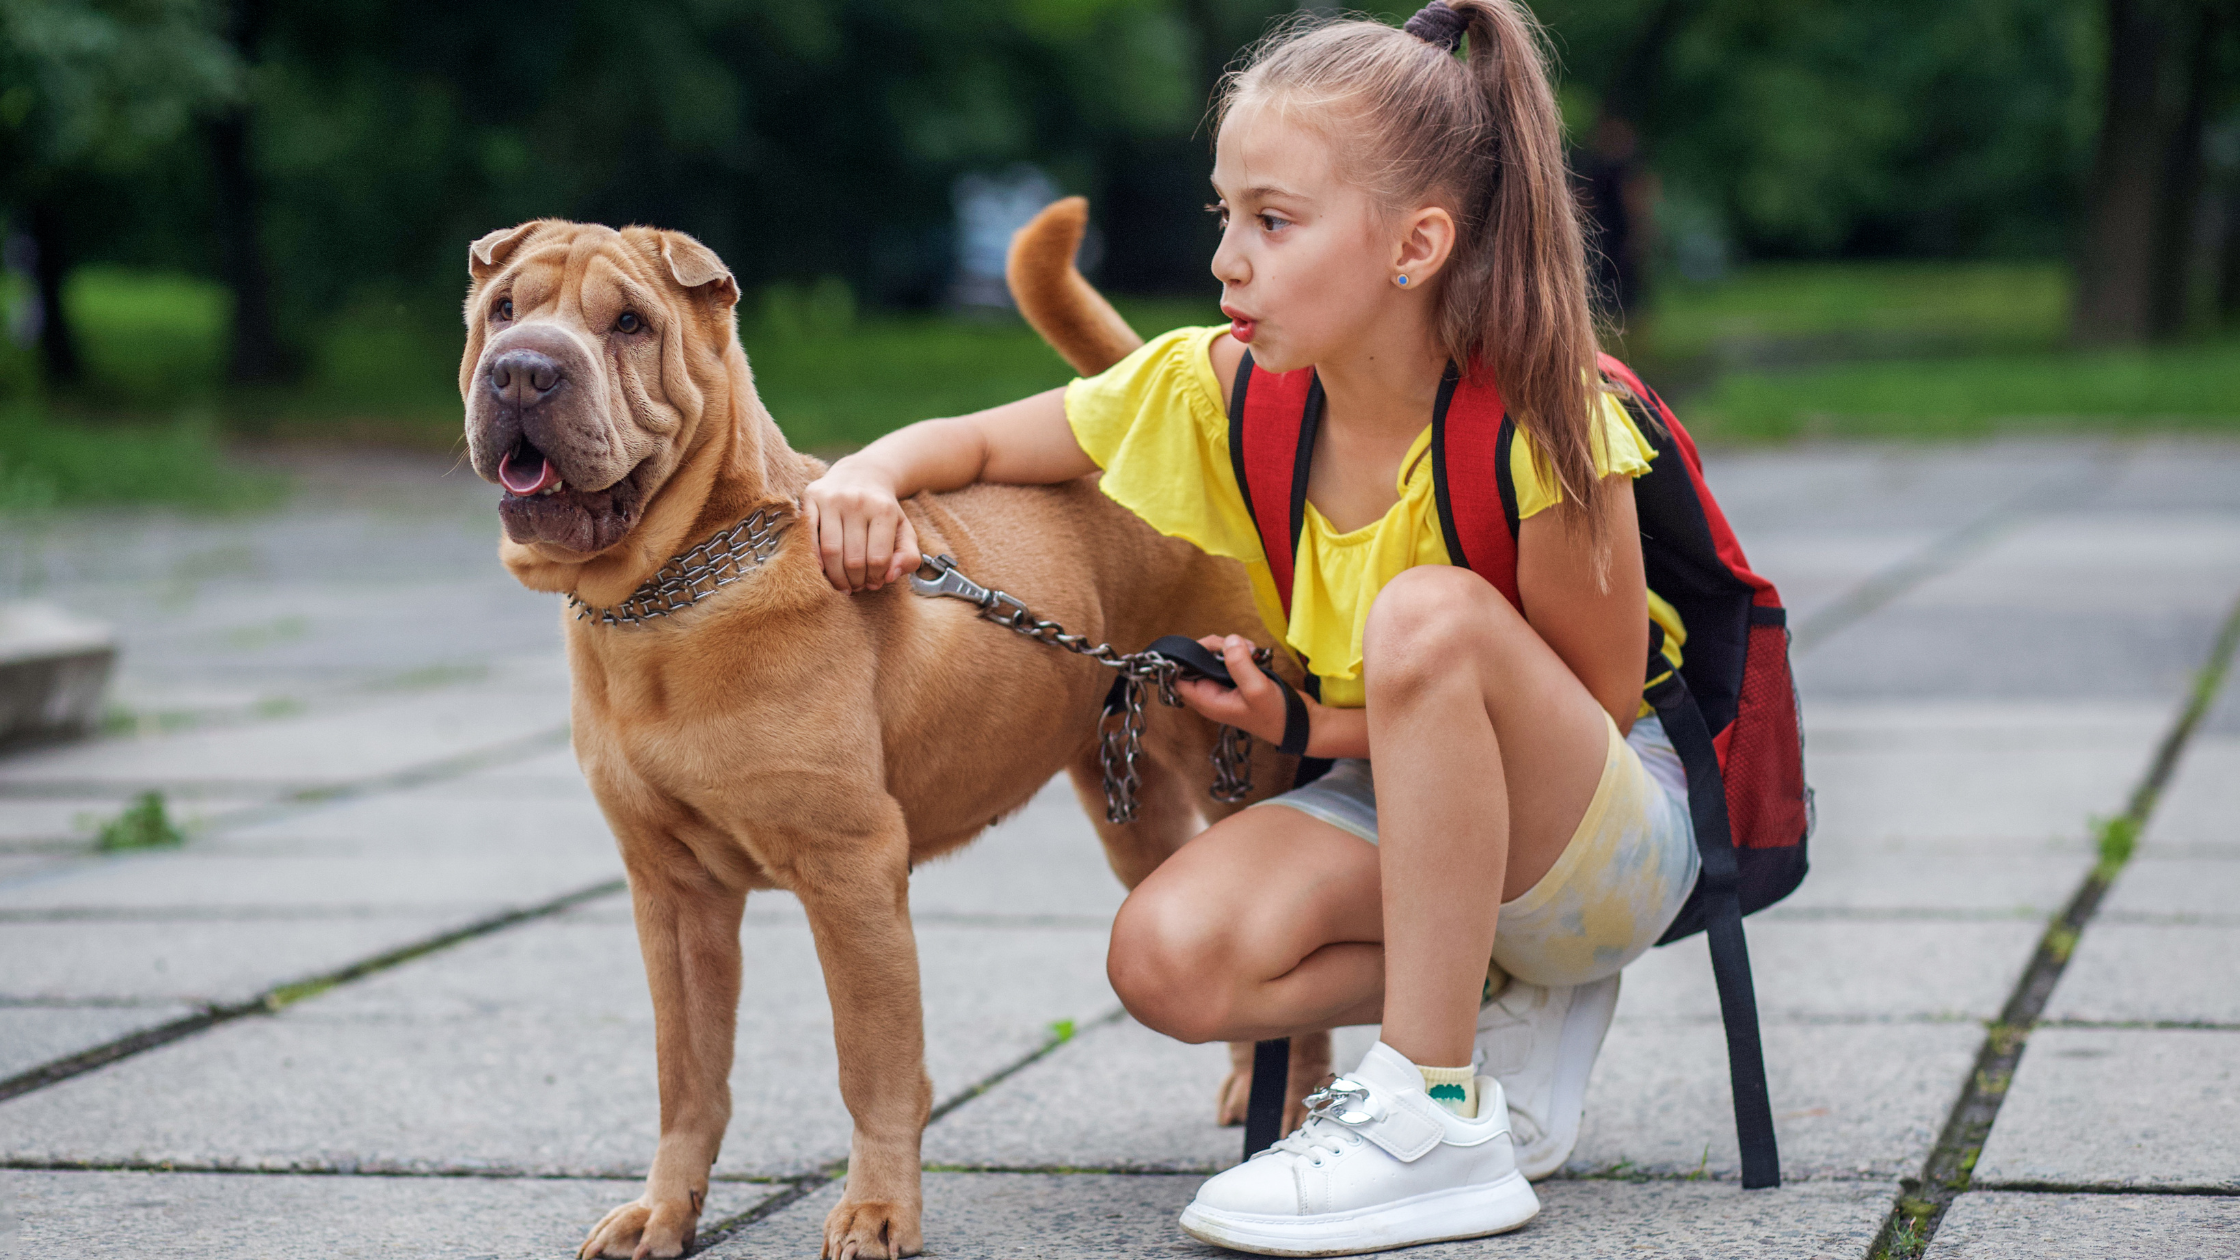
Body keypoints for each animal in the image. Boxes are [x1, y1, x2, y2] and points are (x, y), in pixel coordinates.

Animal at [459, 208, 1326, 1255]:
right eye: (505, 310)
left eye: (628, 322)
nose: (521, 372)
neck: (669, 596)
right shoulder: (670, 891)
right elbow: (688, 1073)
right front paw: (663, 1211)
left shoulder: (850, 869)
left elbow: (870, 1060)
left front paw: (876, 1211)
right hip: (1131, 816)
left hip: (1241, 774)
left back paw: (1292, 1109)